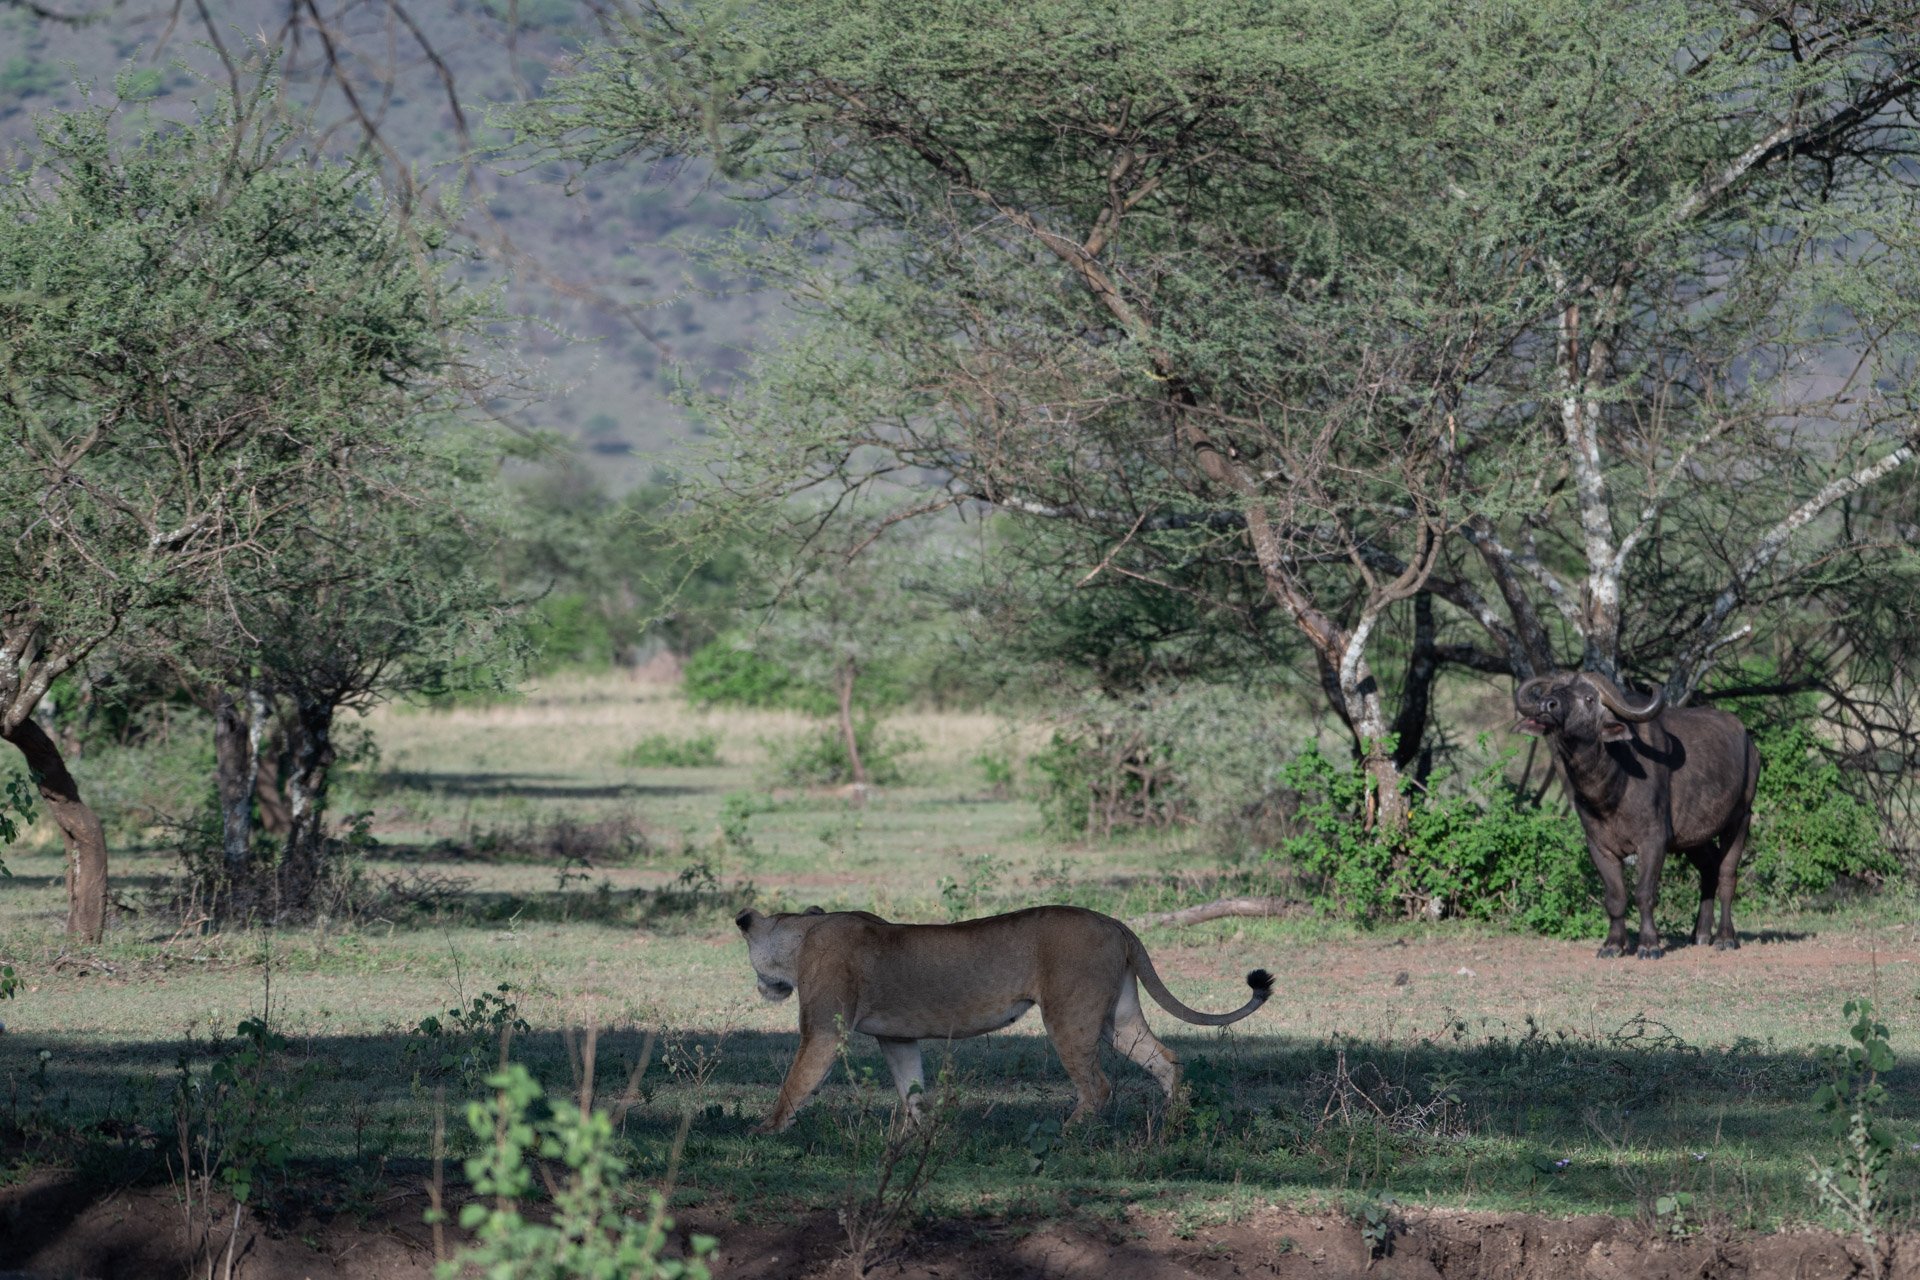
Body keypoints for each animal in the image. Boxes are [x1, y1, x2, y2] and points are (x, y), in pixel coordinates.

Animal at [734, 903, 1273, 1132]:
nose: (761, 987)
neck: (802, 930)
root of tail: (1116, 923)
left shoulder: (825, 1029)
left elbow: (795, 1082)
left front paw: (765, 1134)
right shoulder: (899, 1039)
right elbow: (913, 1091)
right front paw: (919, 1137)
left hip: (1067, 1013)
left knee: (1098, 1086)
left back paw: (1066, 1134)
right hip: (1117, 1018)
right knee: (1166, 1058)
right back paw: (1173, 1123)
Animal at [1515, 672, 1759, 959]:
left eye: (1588, 698)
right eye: (1552, 691)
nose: (1547, 705)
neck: (1612, 786)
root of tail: (1751, 745)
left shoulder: (1653, 841)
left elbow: (1644, 893)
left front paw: (1649, 944)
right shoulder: (1599, 847)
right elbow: (1615, 897)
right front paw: (1613, 944)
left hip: (1740, 818)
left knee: (1727, 876)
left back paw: (1725, 937)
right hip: (1694, 837)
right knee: (1709, 868)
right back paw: (1699, 934)